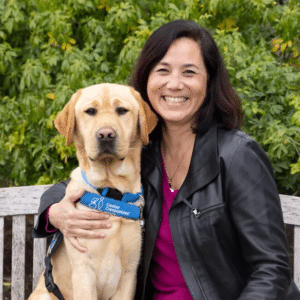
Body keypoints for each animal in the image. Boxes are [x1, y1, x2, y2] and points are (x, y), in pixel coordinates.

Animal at [29, 82, 158, 300]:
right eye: (90, 111)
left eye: (122, 110)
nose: (106, 134)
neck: (112, 191)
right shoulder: (83, 271)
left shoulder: (129, 273)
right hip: (44, 295)